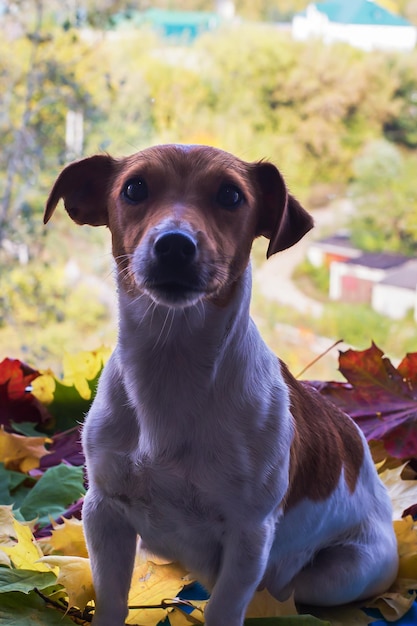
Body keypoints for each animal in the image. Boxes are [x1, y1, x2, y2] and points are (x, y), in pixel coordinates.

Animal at [44, 145, 398, 624]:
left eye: (231, 195)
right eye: (134, 188)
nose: (174, 244)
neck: (172, 369)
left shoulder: (249, 537)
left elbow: (224, 608)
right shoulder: (104, 513)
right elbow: (112, 600)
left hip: (337, 573)